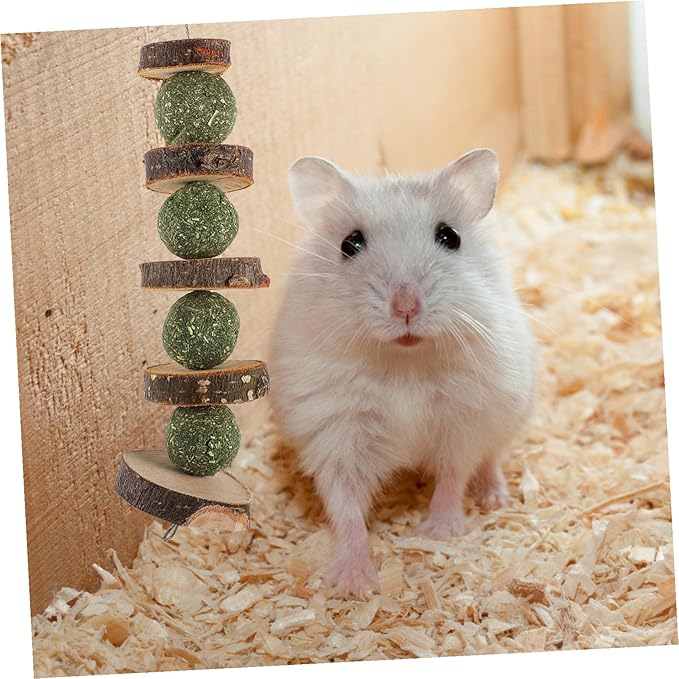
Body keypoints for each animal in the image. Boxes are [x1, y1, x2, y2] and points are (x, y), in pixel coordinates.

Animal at [269, 149, 537, 597]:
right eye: (350, 244)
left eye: (450, 237)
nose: (406, 307)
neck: (405, 363)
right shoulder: (337, 436)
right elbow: (346, 507)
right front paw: (355, 585)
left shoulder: (463, 421)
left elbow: (452, 475)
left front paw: (440, 533)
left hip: (505, 418)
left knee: (490, 460)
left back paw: (493, 498)